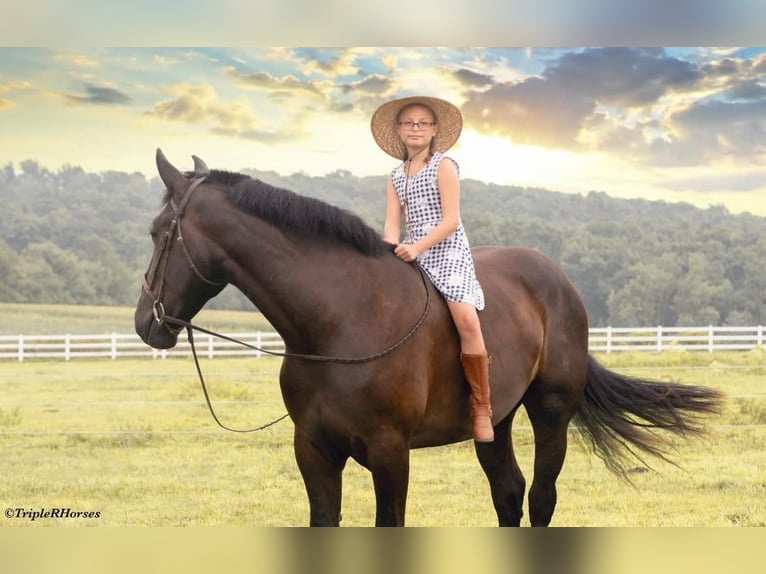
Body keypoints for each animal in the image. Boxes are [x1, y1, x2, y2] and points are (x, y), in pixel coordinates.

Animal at [136, 151, 720, 528]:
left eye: (158, 232)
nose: (146, 323)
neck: (339, 321)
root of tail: (557, 277)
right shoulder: (313, 450)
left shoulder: (390, 452)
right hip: (496, 422)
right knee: (508, 495)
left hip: (551, 411)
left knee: (541, 499)